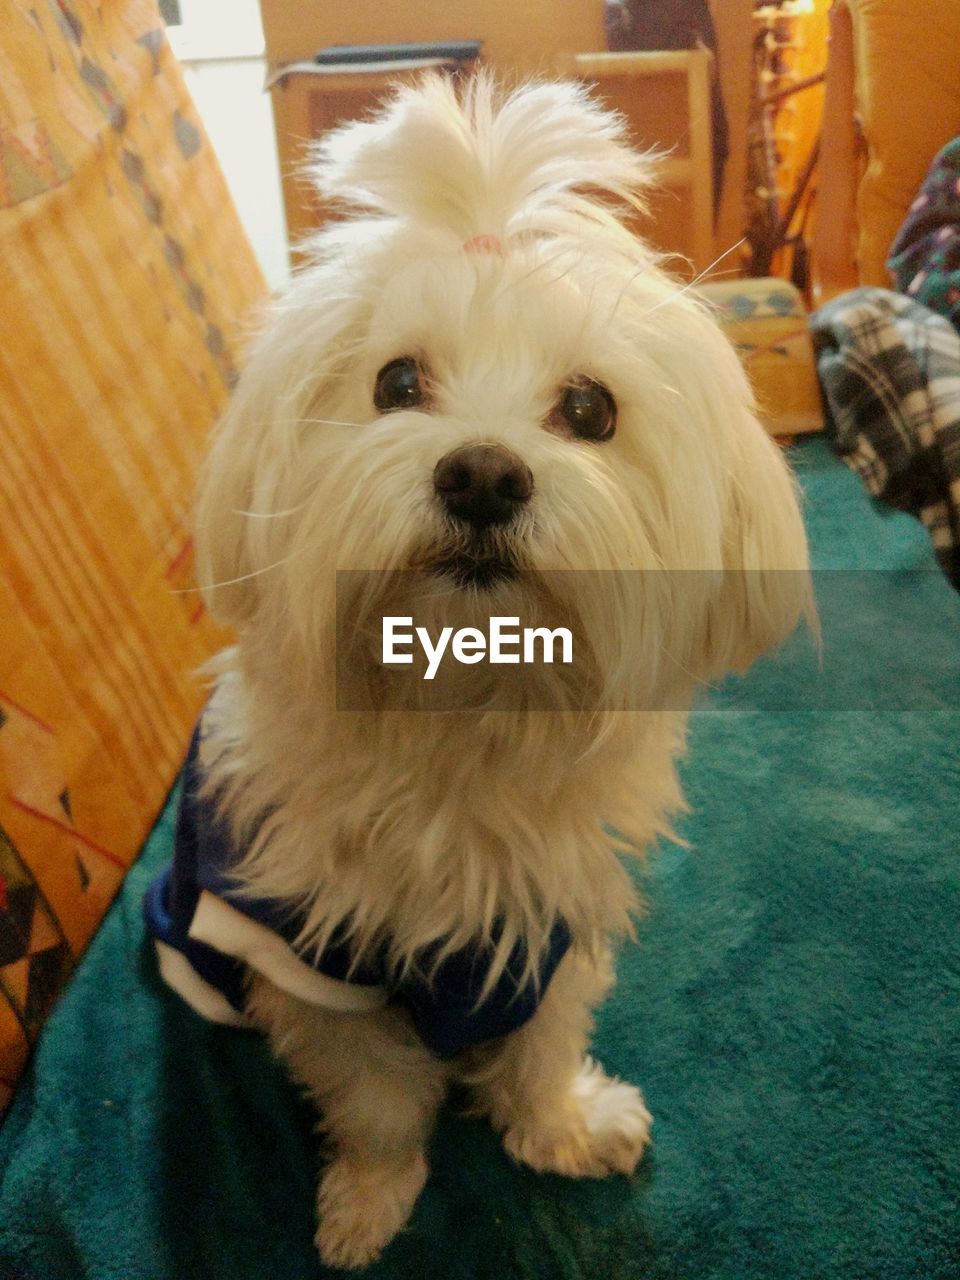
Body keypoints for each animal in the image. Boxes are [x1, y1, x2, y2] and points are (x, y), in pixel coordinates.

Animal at [148, 72, 814, 1269]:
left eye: (590, 408)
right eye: (396, 381)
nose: (484, 474)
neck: (462, 716)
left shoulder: (547, 927)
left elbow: (540, 1045)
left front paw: (560, 1128)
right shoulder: (315, 965)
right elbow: (375, 1100)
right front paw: (371, 1203)